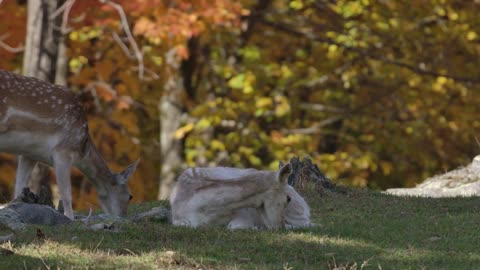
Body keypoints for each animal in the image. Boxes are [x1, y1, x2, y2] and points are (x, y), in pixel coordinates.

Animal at [0, 69, 139, 219]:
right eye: (130, 196)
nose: (123, 217)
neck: (82, 148)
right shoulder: (63, 150)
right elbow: (66, 194)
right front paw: (70, 218)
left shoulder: (29, 153)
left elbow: (19, 187)